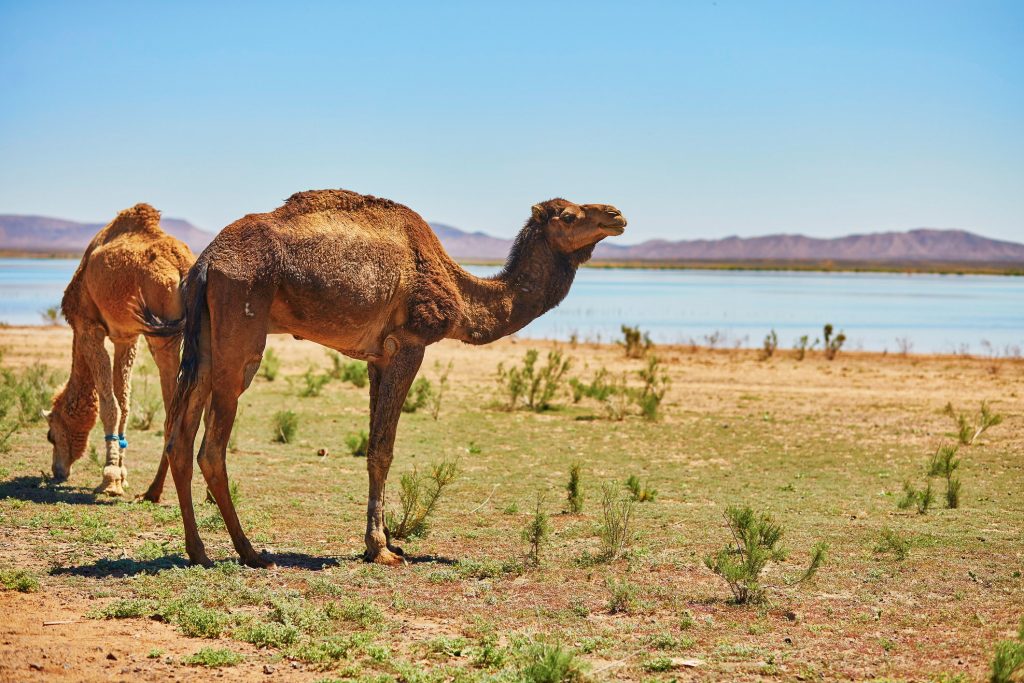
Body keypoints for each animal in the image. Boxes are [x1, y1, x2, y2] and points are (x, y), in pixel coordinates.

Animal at [48, 201, 195, 497]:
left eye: (51, 436)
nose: (57, 471)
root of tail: (182, 266)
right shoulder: (126, 336)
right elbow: (124, 401)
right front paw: (122, 474)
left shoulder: (88, 327)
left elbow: (110, 404)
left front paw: (110, 479)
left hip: (163, 335)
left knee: (174, 409)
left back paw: (154, 491)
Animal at [159, 189, 622, 569]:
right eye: (568, 216)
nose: (616, 215)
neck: (460, 292)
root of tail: (205, 263)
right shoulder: (410, 342)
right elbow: (383, 449)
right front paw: (382, 549)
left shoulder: (377, 358)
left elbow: (372, 445)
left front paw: (382, 543)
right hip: (242, 330)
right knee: (211, 449)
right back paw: (249, 552)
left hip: (205, 341)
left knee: (179, 440)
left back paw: (198, 551)